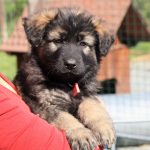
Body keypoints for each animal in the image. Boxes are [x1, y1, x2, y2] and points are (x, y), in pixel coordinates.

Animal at [14, 7, 115, 150]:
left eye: (83, 43)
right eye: (58, 41)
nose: (70, 64)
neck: (68, 84)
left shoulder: (87, 95)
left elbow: (93, 108)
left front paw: (104, 128)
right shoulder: (47, 104)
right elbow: (66, 119)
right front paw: (82, 134)